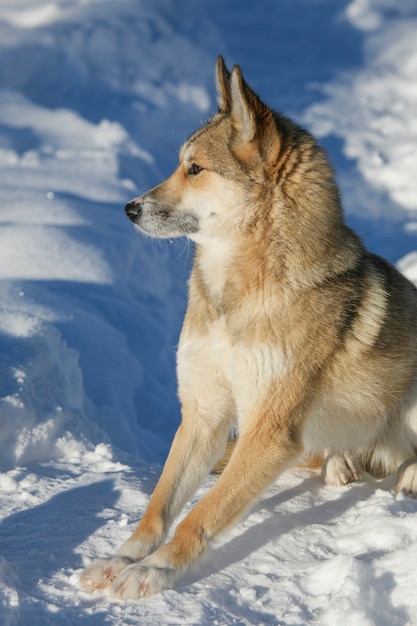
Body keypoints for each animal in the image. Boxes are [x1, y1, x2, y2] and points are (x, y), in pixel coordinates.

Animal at [79, 56, 416, 596]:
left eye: (195, 169)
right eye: (180, 164)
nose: (128, 208)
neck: (233, 296)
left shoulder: (268, 431)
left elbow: (201, 516)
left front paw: (154, 571)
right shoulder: (202, 412)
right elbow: (159, 506)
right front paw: (121, 558)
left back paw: (407, 476)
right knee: (326, 455)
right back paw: (340, 464)